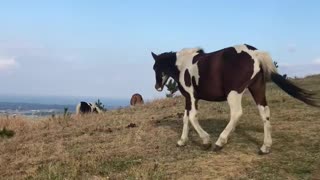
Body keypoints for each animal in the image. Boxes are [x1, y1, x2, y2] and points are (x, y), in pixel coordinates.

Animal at [151, 44, 320, 154]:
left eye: (156, 67)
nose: (157, 86)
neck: (183, 64)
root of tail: (255, 53)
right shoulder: (189, 99)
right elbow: (186, 119)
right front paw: (182, 141)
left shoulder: (192, 97)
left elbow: (192, 117)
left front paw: (206, 141)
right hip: (257, 89)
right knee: (264, 113)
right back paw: (265, 147)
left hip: (234, 93)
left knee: (237, 113)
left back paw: (220, 142)